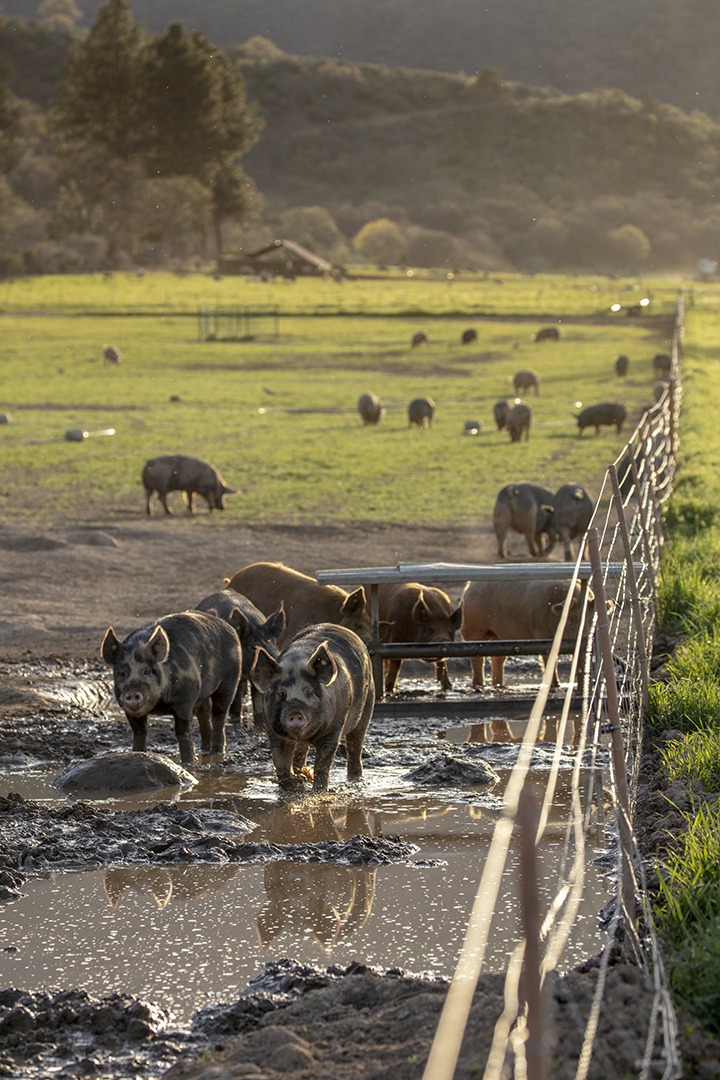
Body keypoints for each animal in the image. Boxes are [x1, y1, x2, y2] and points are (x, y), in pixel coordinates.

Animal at [99, 613, 241, 764]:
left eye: (147, 671)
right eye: (122, 673)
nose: (132, 693)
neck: (160, 704)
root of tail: (228, 626)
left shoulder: (186, 699)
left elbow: (182, 732)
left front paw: (189, 763)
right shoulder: (128, 710)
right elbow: (139, 732)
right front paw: (137, 753)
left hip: (230, 678)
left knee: (220, 715)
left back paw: (217, 753)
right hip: (204, 694)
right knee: (204, 715)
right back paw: (205, 750)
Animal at [198, 587, 289, 730]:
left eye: (273, 642)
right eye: (253, 647)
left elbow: (258, 703)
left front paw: (260, 728)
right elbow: (236, 701)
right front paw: (236, 722)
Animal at [252, 622, 377, 790]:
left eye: (309, 692)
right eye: (281, 694)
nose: (295, 713)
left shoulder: (334, 729)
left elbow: (323, 764)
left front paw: (319, 789)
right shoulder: (274, 732)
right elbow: (281, 761)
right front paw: (294, 783)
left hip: (368, 705)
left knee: (355, 745)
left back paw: (355, 779)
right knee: (301, 752)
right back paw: (300, 772)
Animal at [462, 578, 591, 686]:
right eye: (573, 618)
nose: (585, 637)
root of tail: (469, 587)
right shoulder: (541, 632)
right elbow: (549, 657)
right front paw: (556, 684)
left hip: (498, 635)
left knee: (498, 658)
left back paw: (498, 684)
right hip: (473, 628)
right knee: (477, 657)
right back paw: (479, 685)